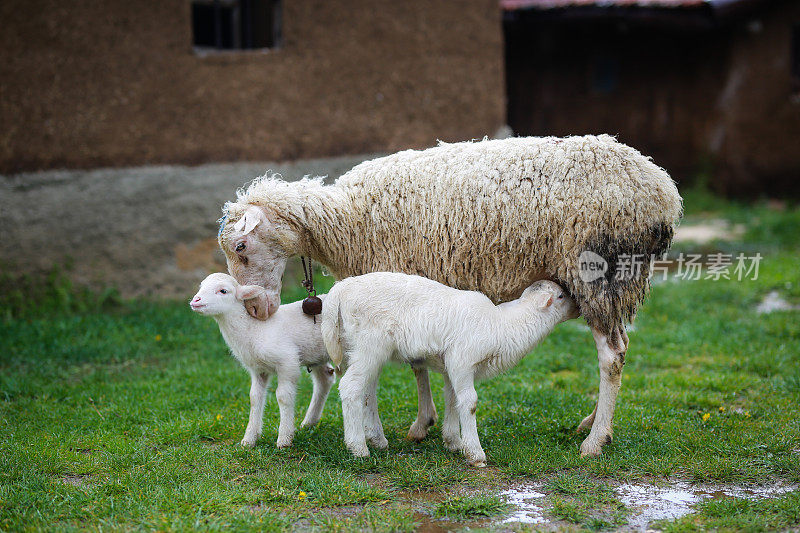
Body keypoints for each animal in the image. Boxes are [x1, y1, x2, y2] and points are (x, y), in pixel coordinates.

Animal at [191, 272, 334, 446]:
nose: (195, 300)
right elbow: (254, 397)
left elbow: (283, 396)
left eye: (223, 291)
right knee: (325, 379)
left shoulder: (288, 362)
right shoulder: (258, 369)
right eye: (201, 286)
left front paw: (284, 438)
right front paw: (249, 439)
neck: (254, 329)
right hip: (317, 354)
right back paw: (309, 422)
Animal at [322, 274, 580, 466]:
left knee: (367, 391)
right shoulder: (462, 360)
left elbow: (452, 398)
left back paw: (377, 439)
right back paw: (358, 447)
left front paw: (453, 441)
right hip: (370, 344)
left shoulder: (450, 367)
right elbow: (469, 402)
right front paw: (475, 453)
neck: (502, 325)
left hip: (355, 348)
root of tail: (340, 290)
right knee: (351, 387)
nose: (579, 308)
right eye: (560, 296)